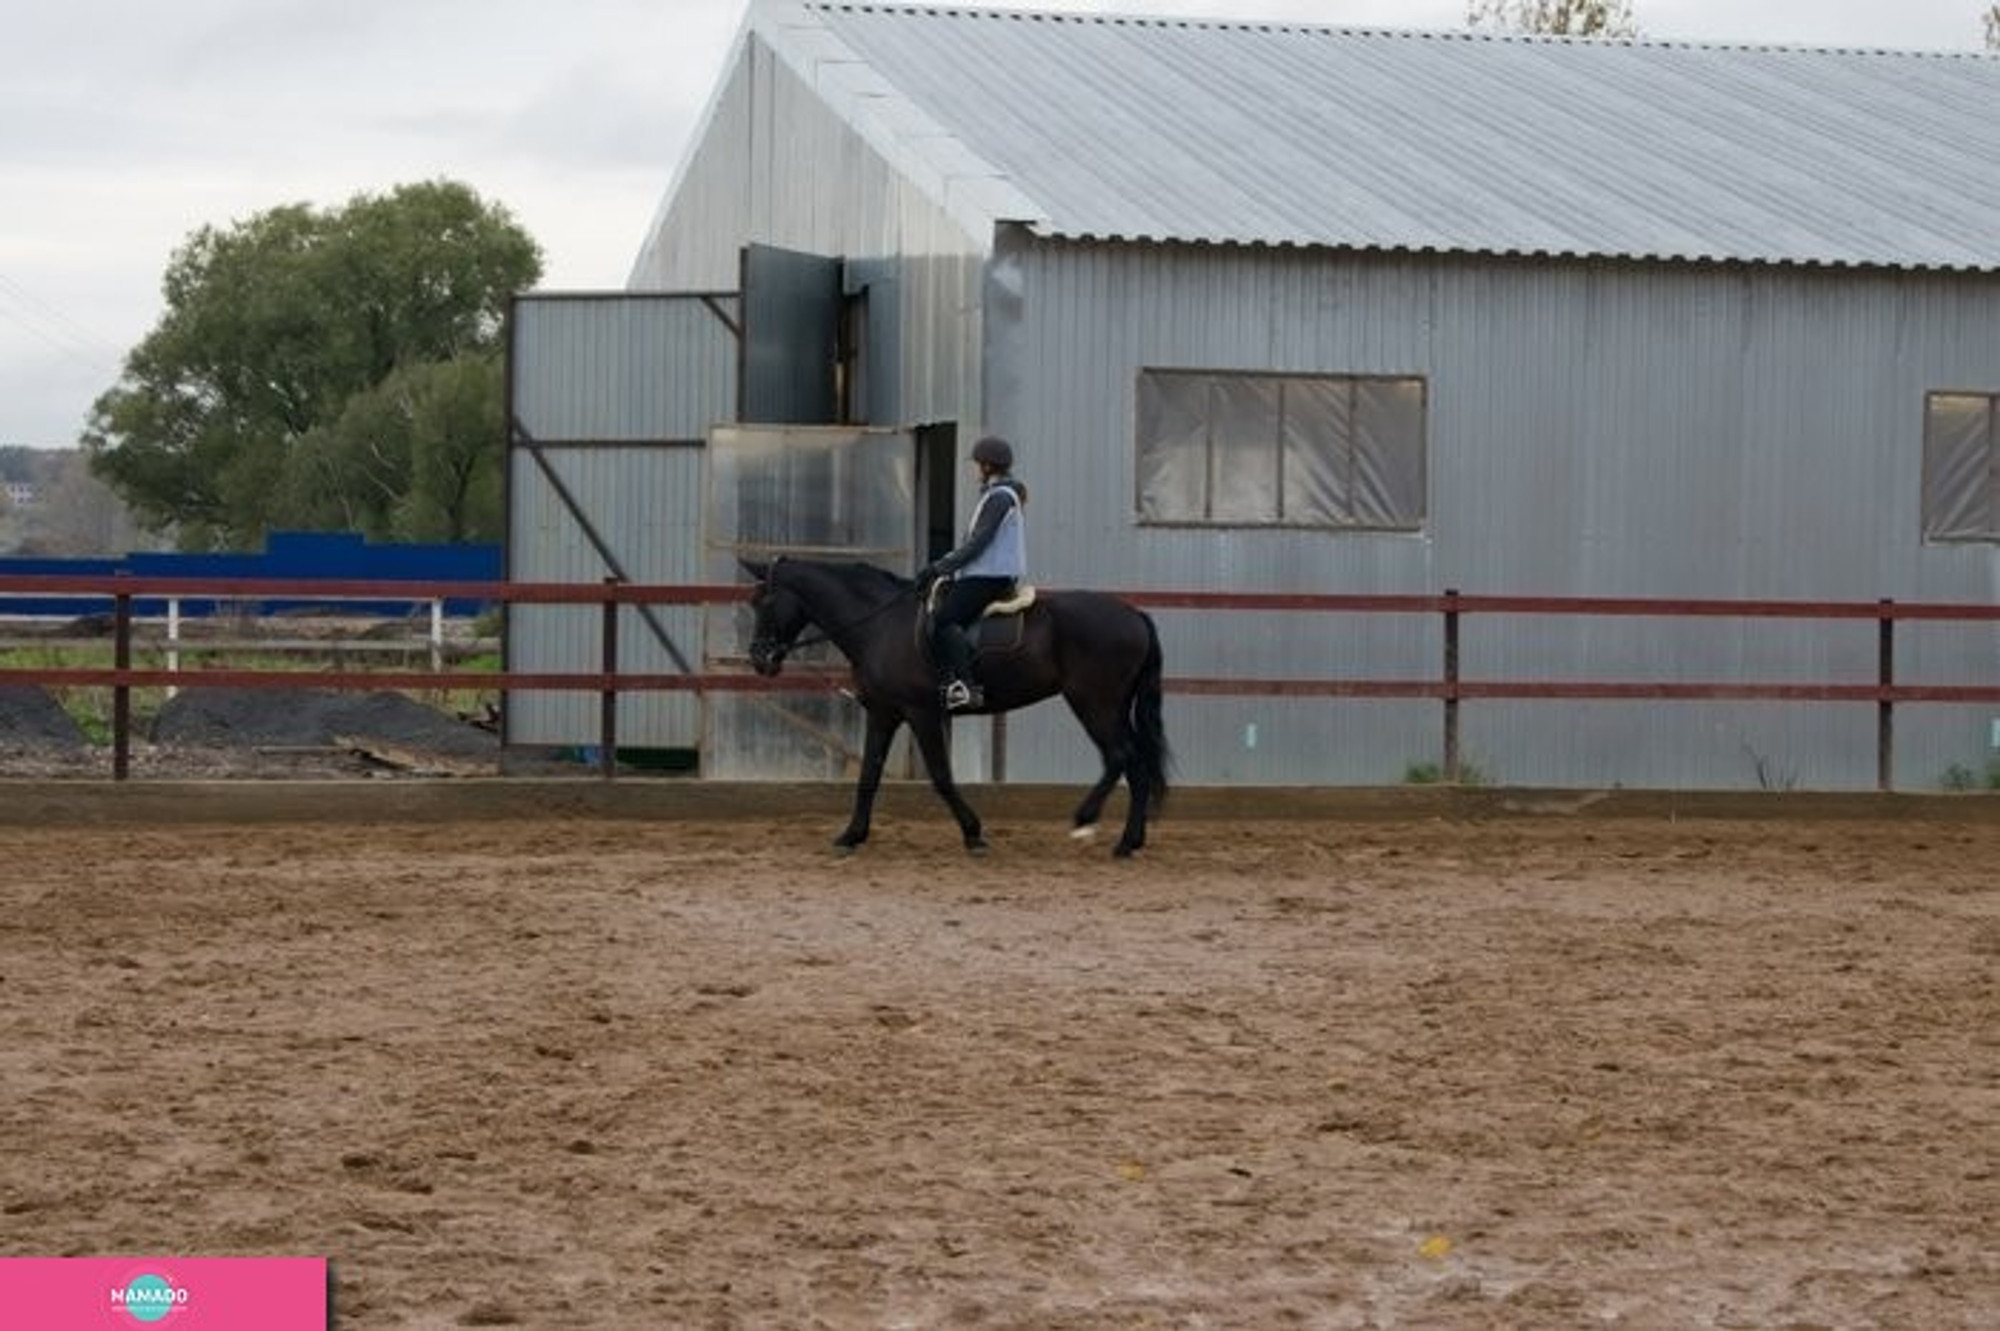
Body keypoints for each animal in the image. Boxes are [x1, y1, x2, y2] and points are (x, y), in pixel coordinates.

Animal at [744, 555, 1168, 851]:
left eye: (764, 602)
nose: (760, 659)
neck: (879, 625)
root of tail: (1134, 614)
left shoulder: (921, 713)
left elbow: (941, 776)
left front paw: (973, 833)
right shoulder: (883, 713)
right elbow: (869, 776)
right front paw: (851, 836)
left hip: (1094, 703)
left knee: (1120, 757)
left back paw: (1086, 821)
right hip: (1112, 706)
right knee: (1137, 764)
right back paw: (1129, 842)